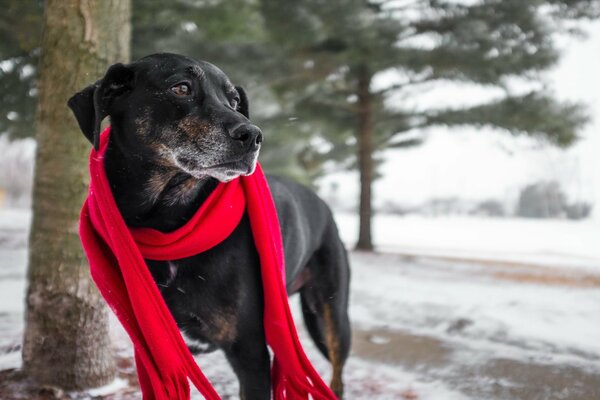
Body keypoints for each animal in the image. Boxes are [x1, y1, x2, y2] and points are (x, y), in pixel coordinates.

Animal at [68, 54, 352, 400]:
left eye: (234, 101)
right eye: (181, 87)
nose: (253, 135)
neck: (167, 222)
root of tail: (322, 203)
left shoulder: (250, 352)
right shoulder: (153, 351)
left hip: (330, 314)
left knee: (337, 373)